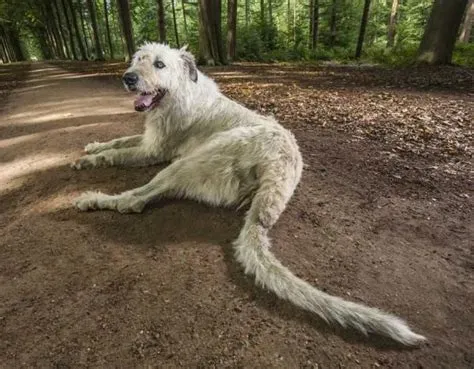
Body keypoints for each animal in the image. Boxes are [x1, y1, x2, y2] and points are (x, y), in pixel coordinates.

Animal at [71, 43, 426, 344]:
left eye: (160, 64)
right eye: (138, 59)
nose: (128, 77)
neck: (182, 91)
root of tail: (278, 172)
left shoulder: (154, 151)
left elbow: (118, 153)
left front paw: (88, 160)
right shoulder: (148, 139)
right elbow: (120, 141)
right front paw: (94, 146)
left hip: (191, 160)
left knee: (134, 201)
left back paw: (92, 199)